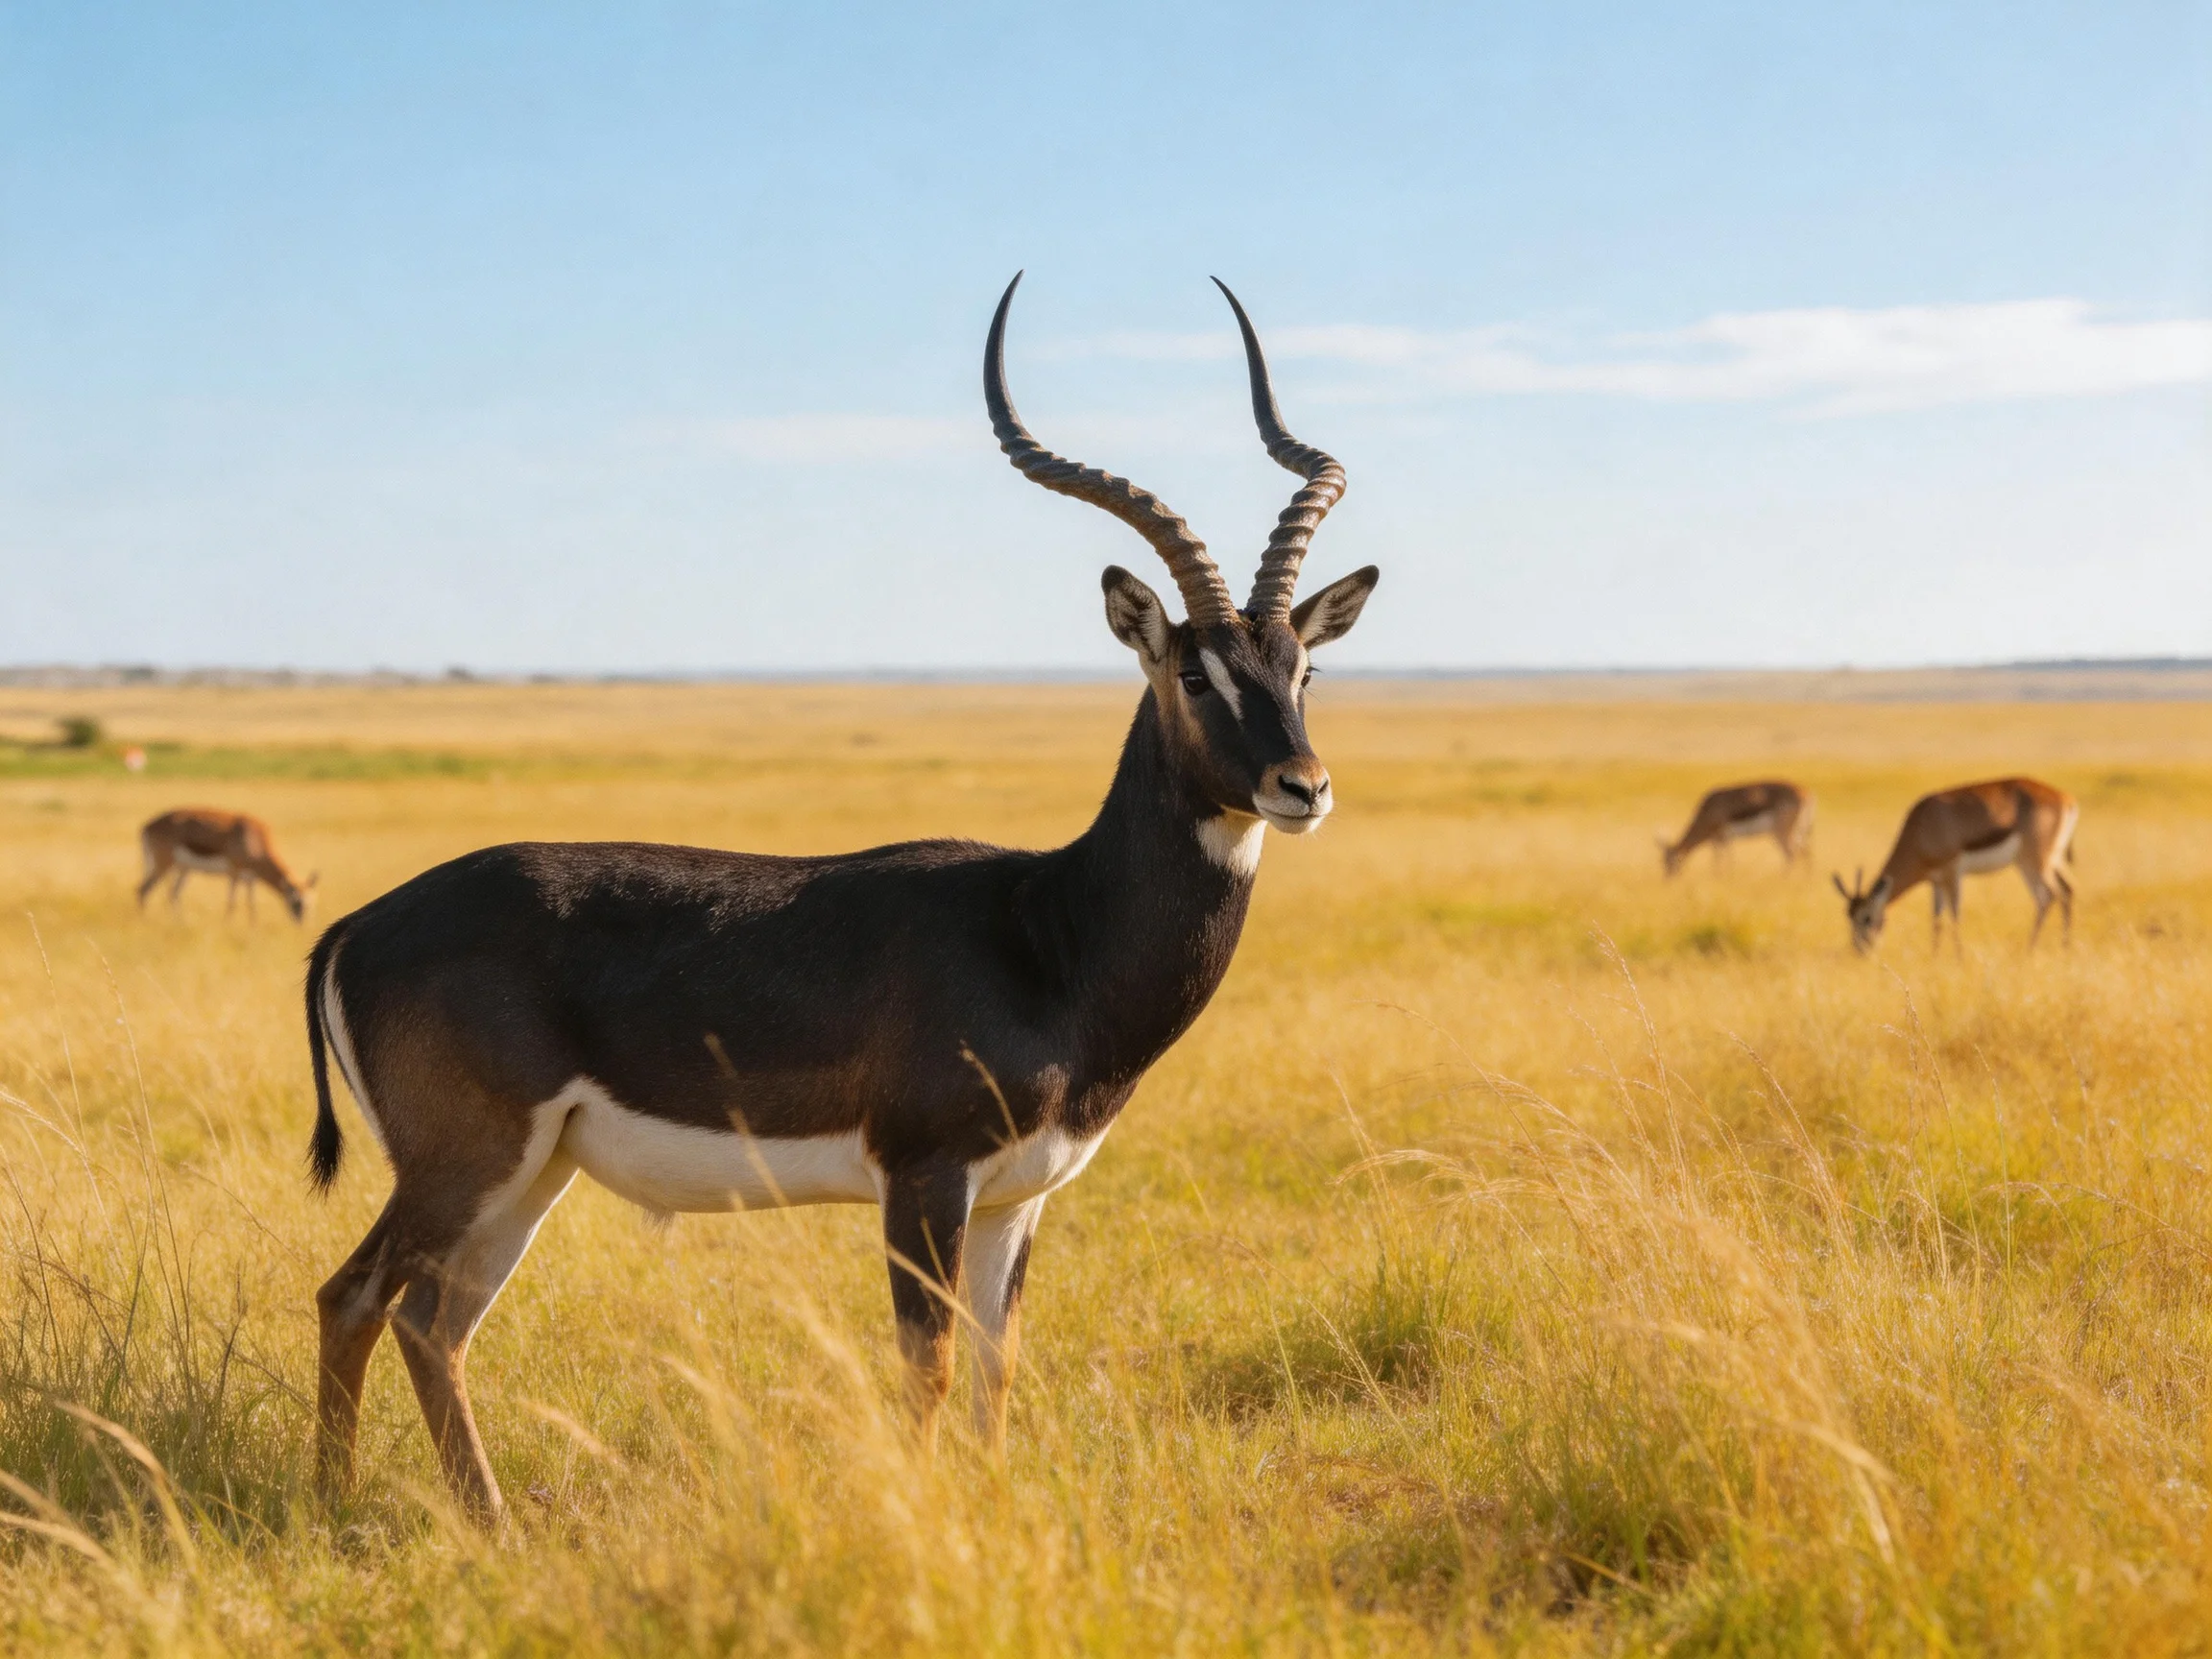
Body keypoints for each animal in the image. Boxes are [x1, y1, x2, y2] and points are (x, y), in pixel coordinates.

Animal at [138, 808, 317, 922]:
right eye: (296, 902)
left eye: (309, 903)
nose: (302, 924)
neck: (254, 839)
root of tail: (147, 826)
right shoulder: (234, 872)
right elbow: (232, 903)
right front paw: (228, 925)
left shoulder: (250, 878)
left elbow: (251, 905)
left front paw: (253, 926)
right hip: (164, 866)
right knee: (143, 890)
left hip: (183, 869)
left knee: (172, 894)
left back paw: (180, 922)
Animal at [302, 275, 1381, 1521]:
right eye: (1194, 671)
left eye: (1302, 667)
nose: (1302, 786)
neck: (1048, 933)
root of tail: (357, 924)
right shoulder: (924, 1179)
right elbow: (930, 1364)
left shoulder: (1016, 1200)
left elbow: (998, 1364)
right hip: (466, 1164)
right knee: (365, 1299)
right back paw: (387, 1514)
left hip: (529, 1177)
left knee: (431, 1320)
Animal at [1658, 780, 1814, 876]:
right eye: (1662, 862)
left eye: (1670, 862)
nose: (1666, 881)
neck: (1707, 811)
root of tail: (1807, 793)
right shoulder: (1720, 840)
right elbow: (1724, 859)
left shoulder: (1721, 837)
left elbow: (1722, 859)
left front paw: (1723, 877)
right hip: (1800, 833)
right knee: (1805, 853)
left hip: (1782, 833)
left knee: (1791, 854)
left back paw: (1784, 879)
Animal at [1834, 777, 2078, 952]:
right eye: (1848, 917)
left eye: (1866, 917)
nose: (1860, 950)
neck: (1921, 827)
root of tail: (2065, 798)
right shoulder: (1935, 880)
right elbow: (1936, 919)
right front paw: (1934, 955)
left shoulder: (1952, 871)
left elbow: (1954, 914)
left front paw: (1959, 957)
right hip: (2050, 861)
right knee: (2067, 890)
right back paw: (2064, 947)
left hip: (2033, 862)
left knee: (2049, 896)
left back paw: (2030, 948)